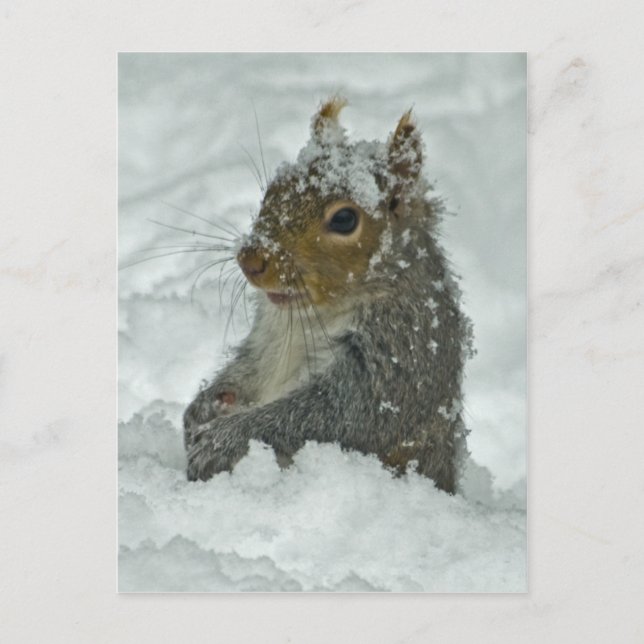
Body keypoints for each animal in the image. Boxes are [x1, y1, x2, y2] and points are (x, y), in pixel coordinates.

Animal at [183, 97, 474, 493]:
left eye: (344, 220)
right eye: (272, 190)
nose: (251, 259)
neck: (311, 312)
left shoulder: (397, 354)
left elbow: (334, 416)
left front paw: (222, 439)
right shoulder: (265, 341)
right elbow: (245, 371)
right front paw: (201, 408)